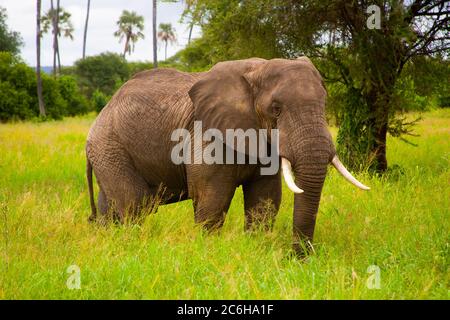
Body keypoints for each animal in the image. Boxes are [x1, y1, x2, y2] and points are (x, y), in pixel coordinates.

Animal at [85, 56, 370, 254]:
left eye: (324, 103)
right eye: (276, 109)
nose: (298, 258)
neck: (256, 70)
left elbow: (265, 199)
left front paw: (256, 249)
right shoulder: (206, 133)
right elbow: (213, 199)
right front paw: (208, 253)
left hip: (108, 152)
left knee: (110, 208)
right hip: (110, 146)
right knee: (136, 204)